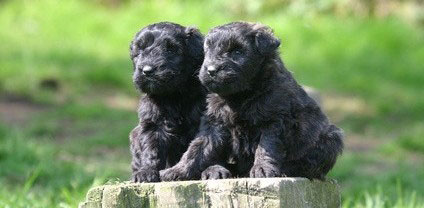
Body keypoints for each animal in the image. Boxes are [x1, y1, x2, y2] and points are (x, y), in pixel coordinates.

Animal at [130, 21, 206, 182]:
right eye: (140, 50)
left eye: (171, 49)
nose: (147, 70)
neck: (173, 95)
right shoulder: (153, 125)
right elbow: (151, 150)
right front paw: (146, 172)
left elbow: (198, 150)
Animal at [161, 21, 342, 180]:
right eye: (208, 50)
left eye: (237, 52)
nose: (211, 70)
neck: (241, 95)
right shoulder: (215, 123)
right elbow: (197, 148)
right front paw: (177, 170)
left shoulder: (274, 121)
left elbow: (266, 147)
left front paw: (262, 169)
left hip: (331, 137)